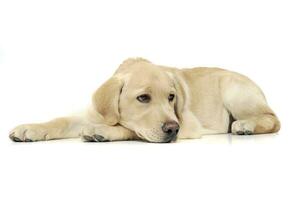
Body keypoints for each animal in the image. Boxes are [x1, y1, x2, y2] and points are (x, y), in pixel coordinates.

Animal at [9, 57, 282, 143]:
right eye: (143, 98)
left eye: (171, 97)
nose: (173, 129)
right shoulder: (92, 113)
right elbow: (62, 120)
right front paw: (30, 128)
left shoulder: (187, 126)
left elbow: (129, 128)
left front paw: (102, 131)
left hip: (234, 92)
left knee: (273, 119)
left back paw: (245, 125)